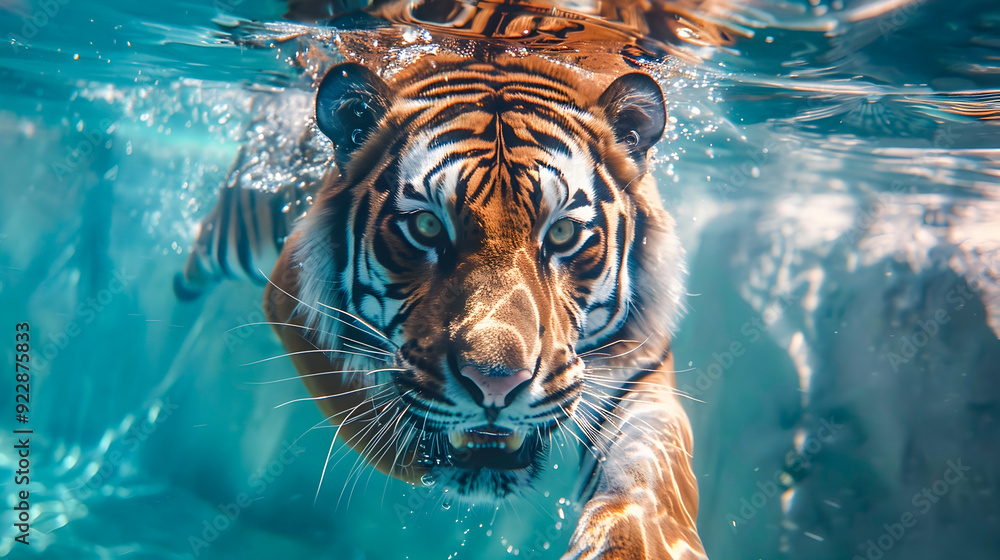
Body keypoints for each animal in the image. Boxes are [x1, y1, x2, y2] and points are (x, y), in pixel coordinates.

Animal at [179, 41, 706, 560]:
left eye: (561, 233)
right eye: (427, 226)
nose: (495, 384)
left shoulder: (641, 367)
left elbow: (647, 475)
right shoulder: (292, 301)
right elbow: (363, 407)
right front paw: (414, 456)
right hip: (241, 230)